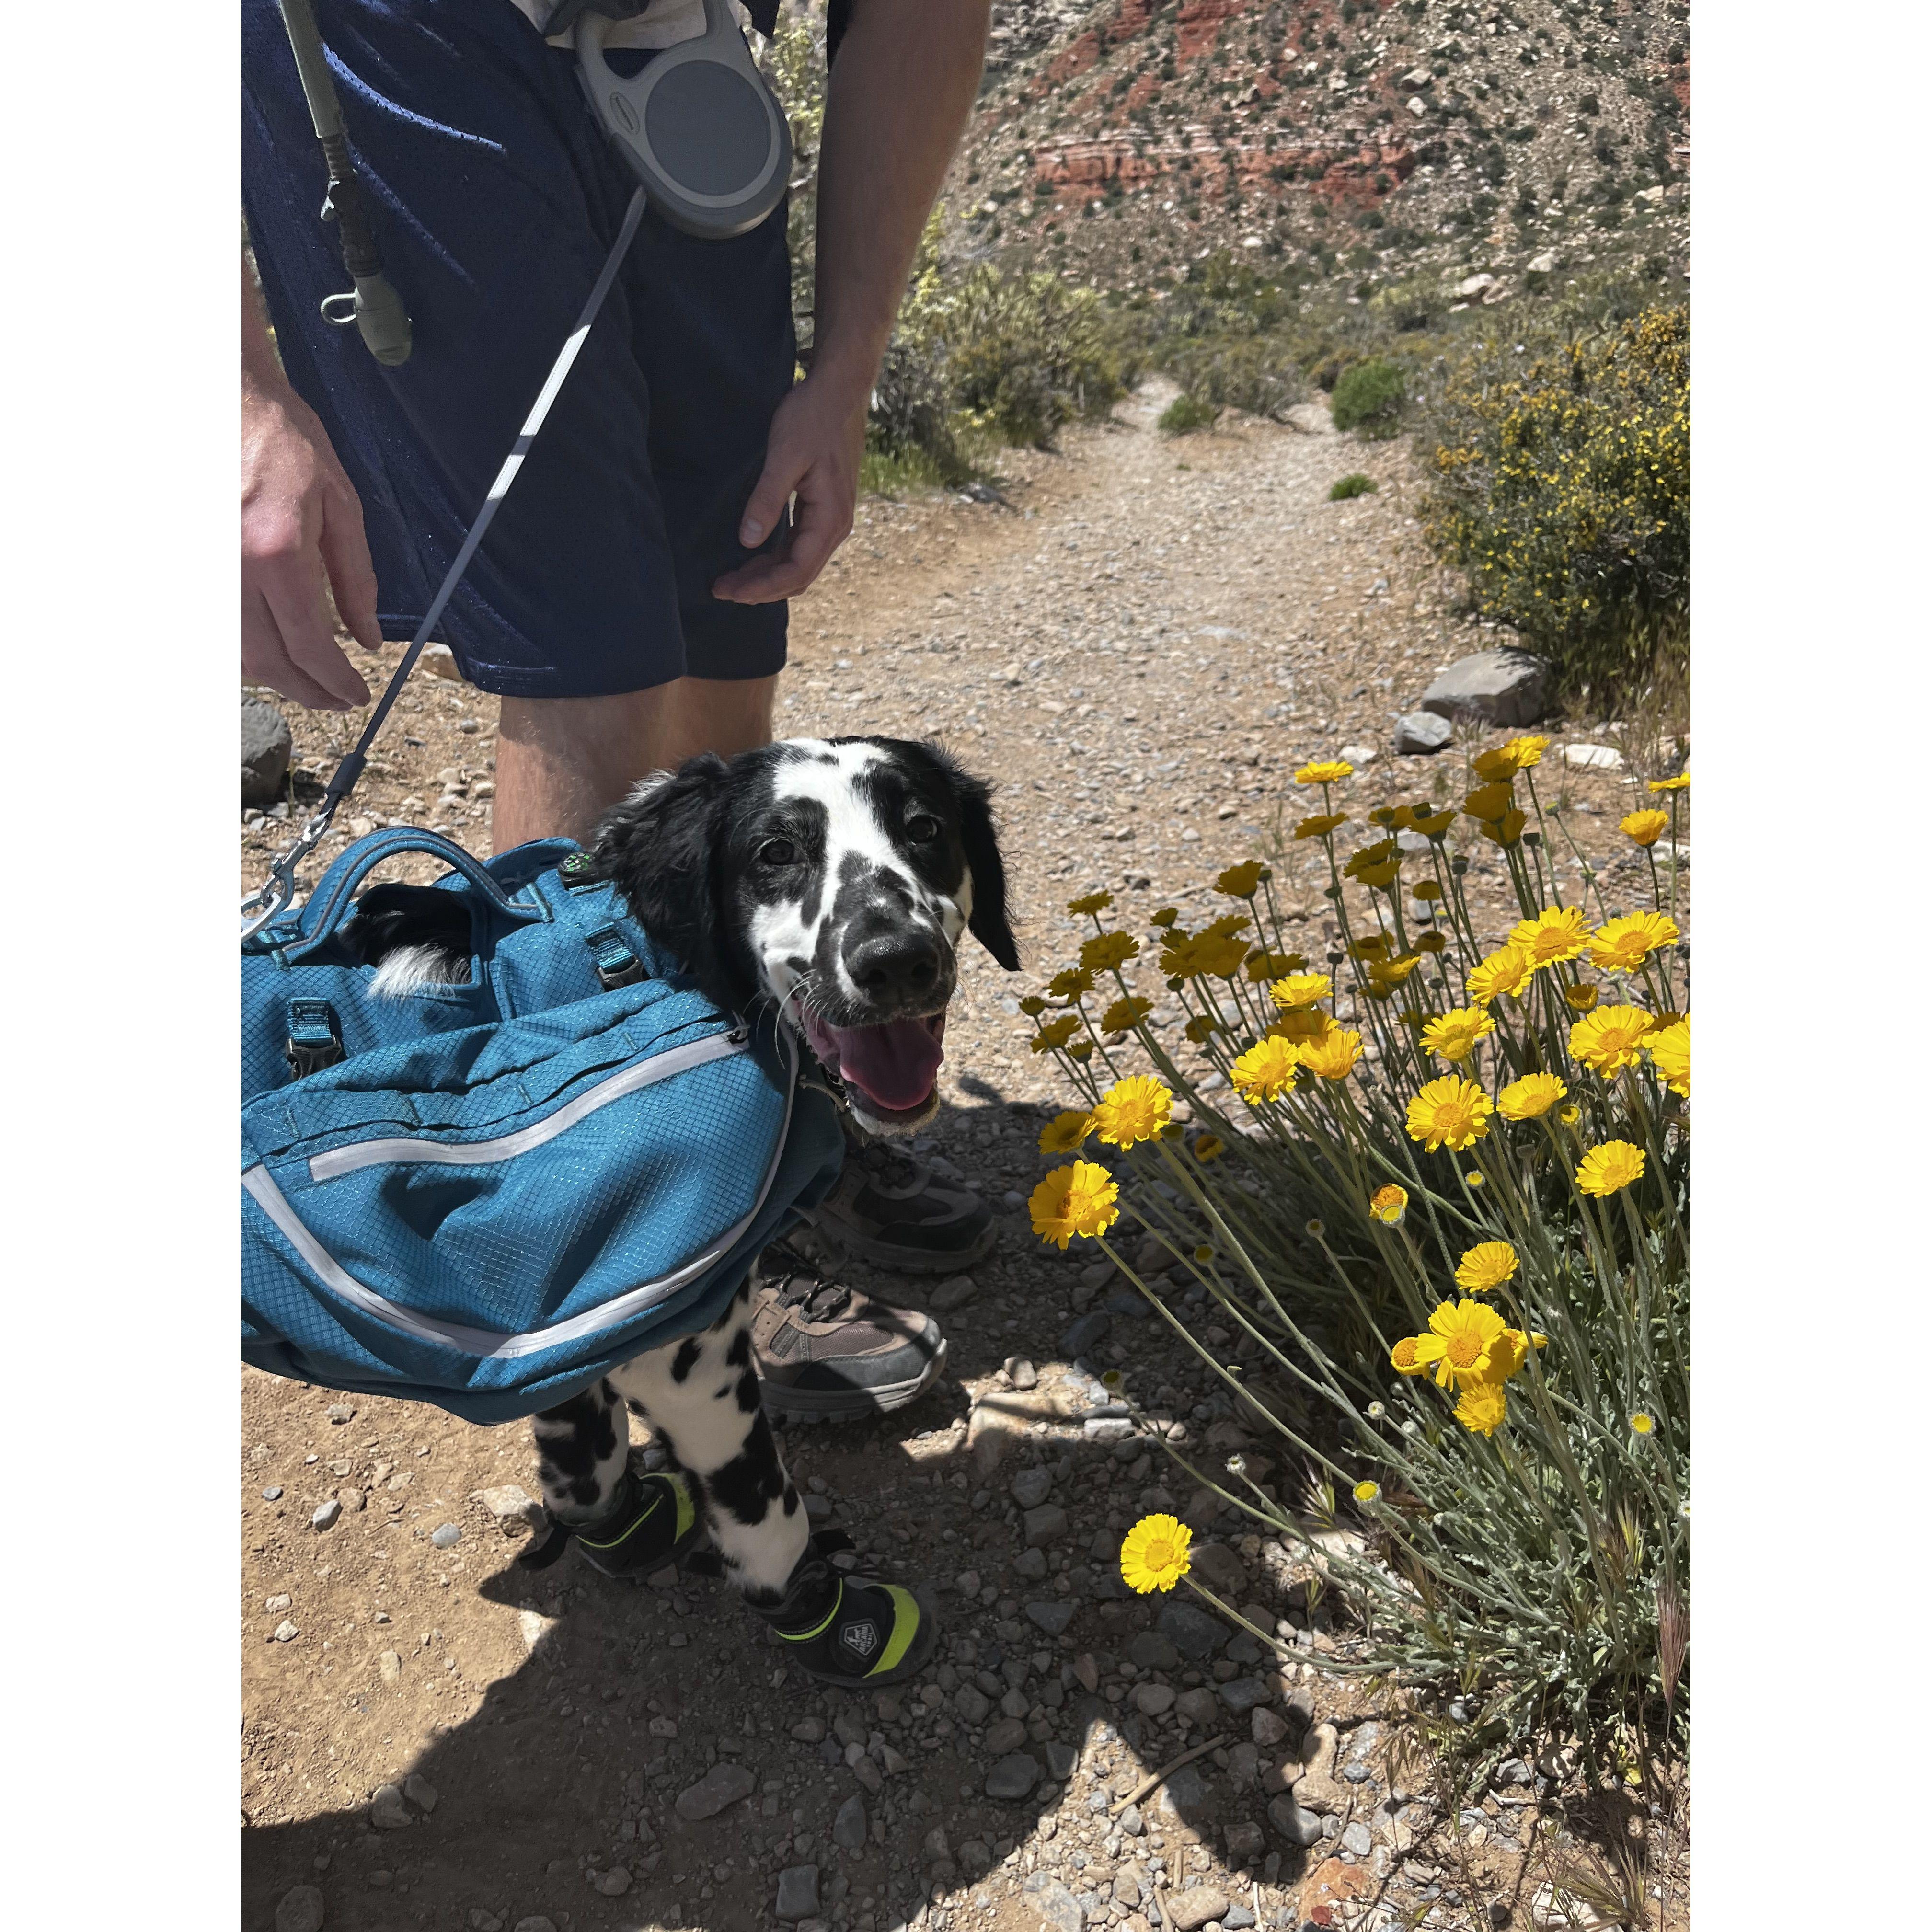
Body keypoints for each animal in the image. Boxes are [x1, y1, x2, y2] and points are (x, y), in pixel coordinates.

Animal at [345, 742, 1020, 1661]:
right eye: (775, 851)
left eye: (924, 828)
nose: (895, 959)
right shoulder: (686, 1363)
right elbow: (766, 1517)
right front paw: (825, 1613)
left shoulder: (573, 1326)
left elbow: (583, 1457)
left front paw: (618, 1527)